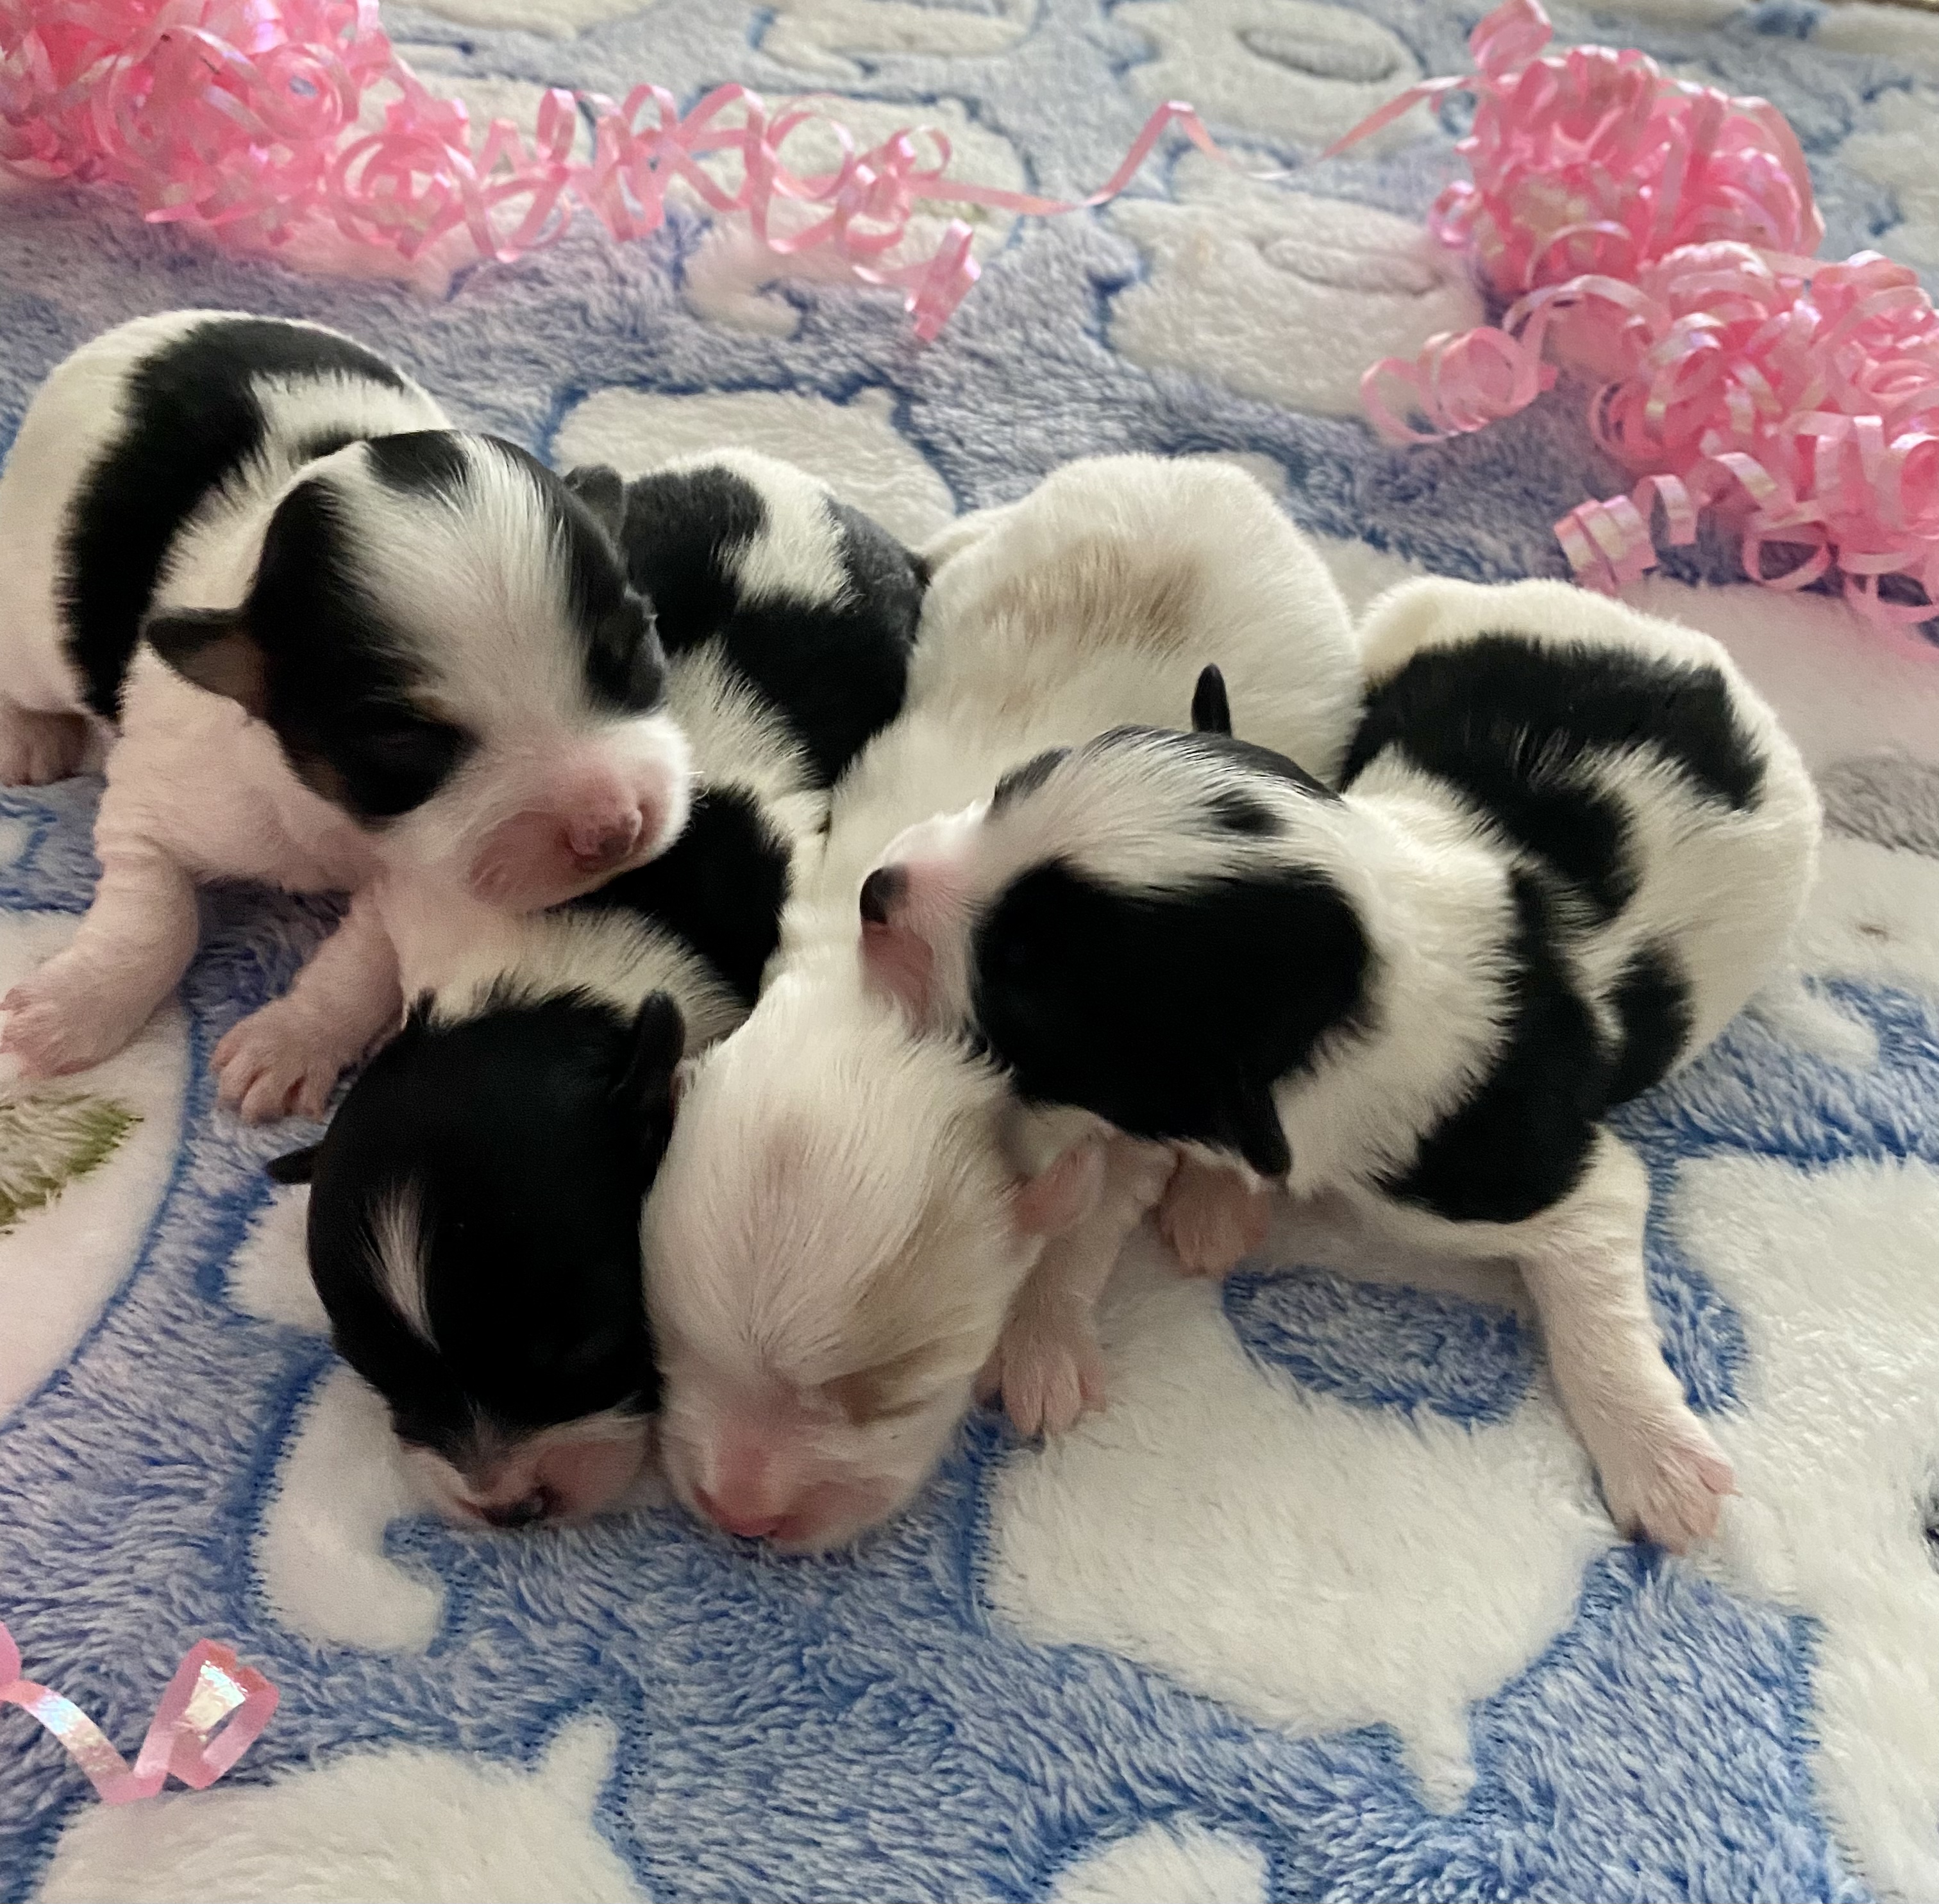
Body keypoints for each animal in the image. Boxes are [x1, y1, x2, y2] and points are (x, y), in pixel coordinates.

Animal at [0, 311, 691, 1117]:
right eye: (405, 741)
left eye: (635, 648)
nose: (615, 830)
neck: (340, 818)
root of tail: (130, 333)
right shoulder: (166, 790)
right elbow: (159, 912)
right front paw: (72, 1008)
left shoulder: (423, 871)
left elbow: (369, 951)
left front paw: (293, 1038)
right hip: (29, 621)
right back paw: (28, 735)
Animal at [268, 454, 927, 1528]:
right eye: (378, 1374)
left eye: (586, 1346)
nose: (507, 1509)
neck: (549, 981)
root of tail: (791, 480)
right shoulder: (422, 889)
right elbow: (363, 947)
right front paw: (286, 1038)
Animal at [641, 454, 1363, 1552]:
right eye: (670, 1342)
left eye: (898, 1395)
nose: (739, 1516)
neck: (890, 1023)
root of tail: (1212, 471)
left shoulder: (1122, 1110)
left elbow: (1083, 1230)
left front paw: (1042, 1349)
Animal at [859, 575, 1823, 1552]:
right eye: (1003, 791)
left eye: (1023, 968)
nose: (875, 887)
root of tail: (1702, 658)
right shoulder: (1147, 1101)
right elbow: (1089, 1209)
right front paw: (1044, 1341)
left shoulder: (1522, 1167)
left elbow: (1596, 1291)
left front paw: (1660, 1464)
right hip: (1413, 615)